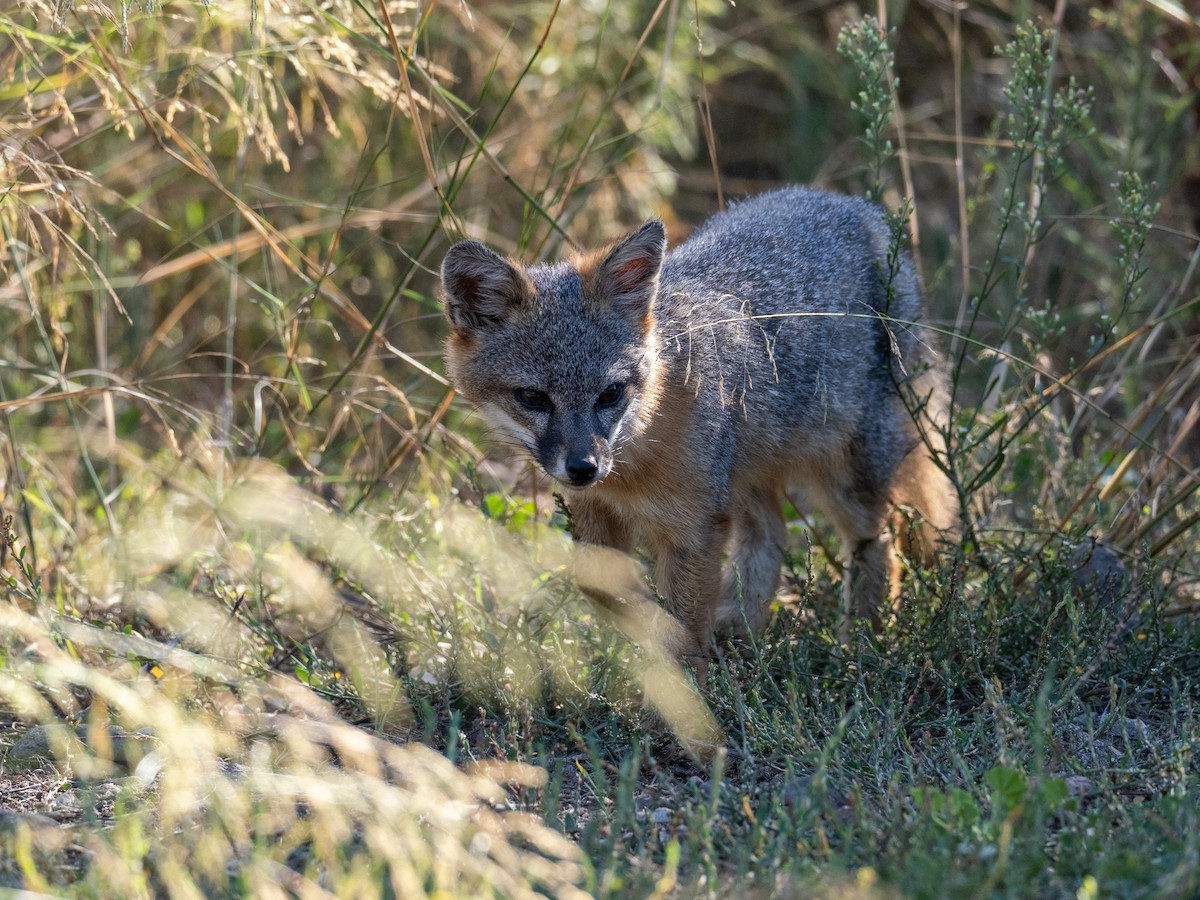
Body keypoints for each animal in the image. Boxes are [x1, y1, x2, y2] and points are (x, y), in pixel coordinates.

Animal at [439, 186, 959, 666]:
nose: (584, 468)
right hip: (749, 476)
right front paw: (652, 629)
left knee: (881, 540)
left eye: (610, 394)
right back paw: (740, 628)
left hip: (844, 480)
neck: (632, 463)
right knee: (771, 536)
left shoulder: (697, 529)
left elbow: (683, 632)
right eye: (532, 398)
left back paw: (862, 642)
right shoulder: (596, 519)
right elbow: (607, 595)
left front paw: (681, 695)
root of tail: (853, 206)